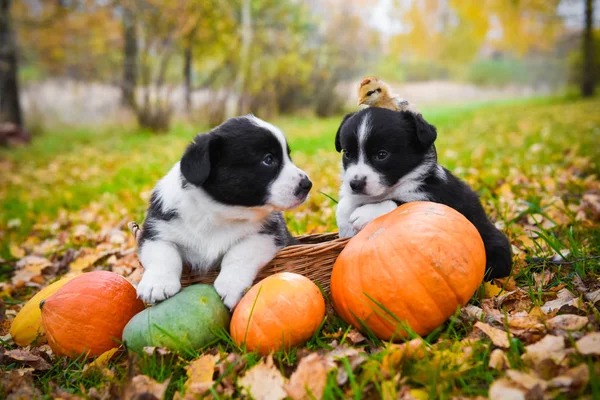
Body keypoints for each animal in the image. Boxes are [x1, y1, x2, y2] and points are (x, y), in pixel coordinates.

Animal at [138, 114, 312, 308]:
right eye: (268, 159)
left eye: (288, 156)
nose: (307, 184)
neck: (220, 212)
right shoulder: (155, 232)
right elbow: (163, 254)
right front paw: (157, 285)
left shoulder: (268, 234)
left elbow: (239, 252)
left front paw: (230, 285)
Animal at [332, 108, 510, 280]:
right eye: (347, 154)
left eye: (382, 154)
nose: (355, 184)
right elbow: (344, 205)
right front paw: (345, 226)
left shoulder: (435, 198)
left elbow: (398, 202)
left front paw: (364, 214)